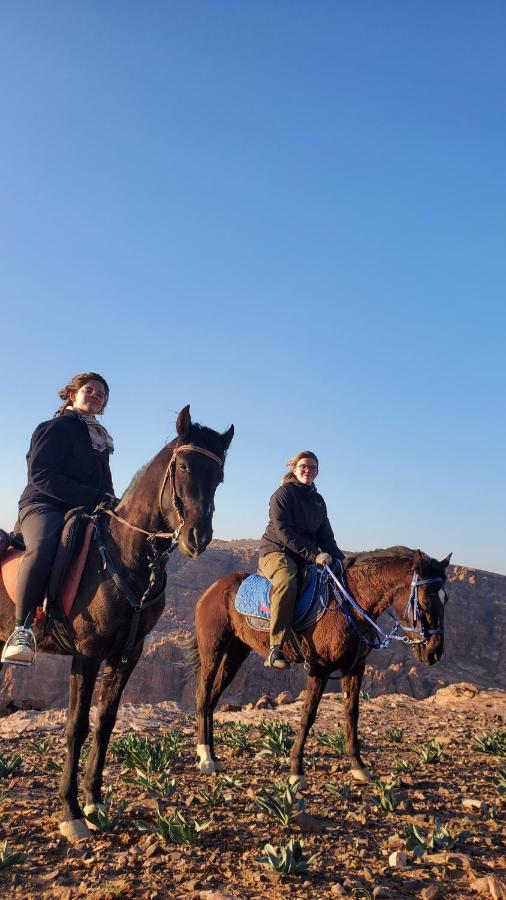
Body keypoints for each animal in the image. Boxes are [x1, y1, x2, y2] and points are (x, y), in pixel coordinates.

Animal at [0, 404, 233, 840]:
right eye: (183, 467)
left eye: (219, 476)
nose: (198, 537)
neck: (123, 554)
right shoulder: (87, 654)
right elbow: (76, 726)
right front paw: (70, 812)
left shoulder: (128, 654)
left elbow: (104, 723)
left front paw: (94, 802)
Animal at [194, 544, 450, 784]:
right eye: (426, 600)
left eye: (446, 600)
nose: (434, 652)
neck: (350, 604)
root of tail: (213, 588)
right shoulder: (320, 667)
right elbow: (308, 714)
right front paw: (296, 769)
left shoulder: (355, 667)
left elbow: (352, 713)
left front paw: (358, 765)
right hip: (213, 650)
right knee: (204, 695)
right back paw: (205, 758)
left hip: (236, 652)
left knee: (213, 698)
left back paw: (214, 758)